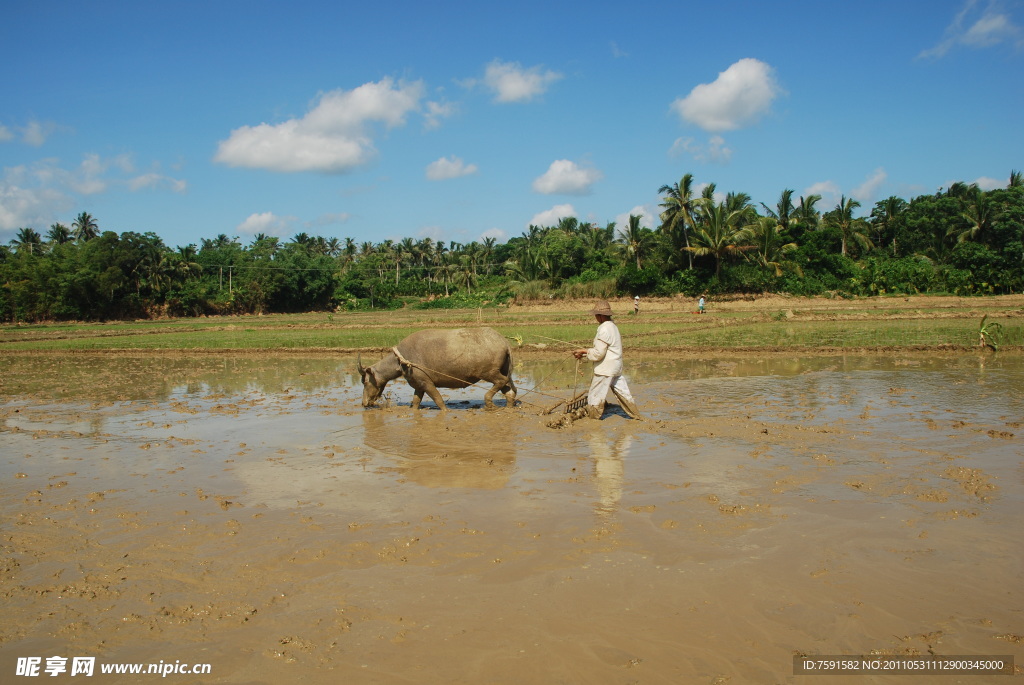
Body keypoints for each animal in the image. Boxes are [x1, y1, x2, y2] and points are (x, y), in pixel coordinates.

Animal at [360, 327, 520, 411]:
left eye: (365, 382)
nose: (364, 403)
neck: (402, 360)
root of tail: (504, 342)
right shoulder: (418, 385)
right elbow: (415, 402)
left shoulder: (427, 383)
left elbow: (439, 400)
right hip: (503, 369)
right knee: (509, 389)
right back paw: (509, 406)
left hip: (488, 372)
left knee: (501, 381)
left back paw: (488, 401)